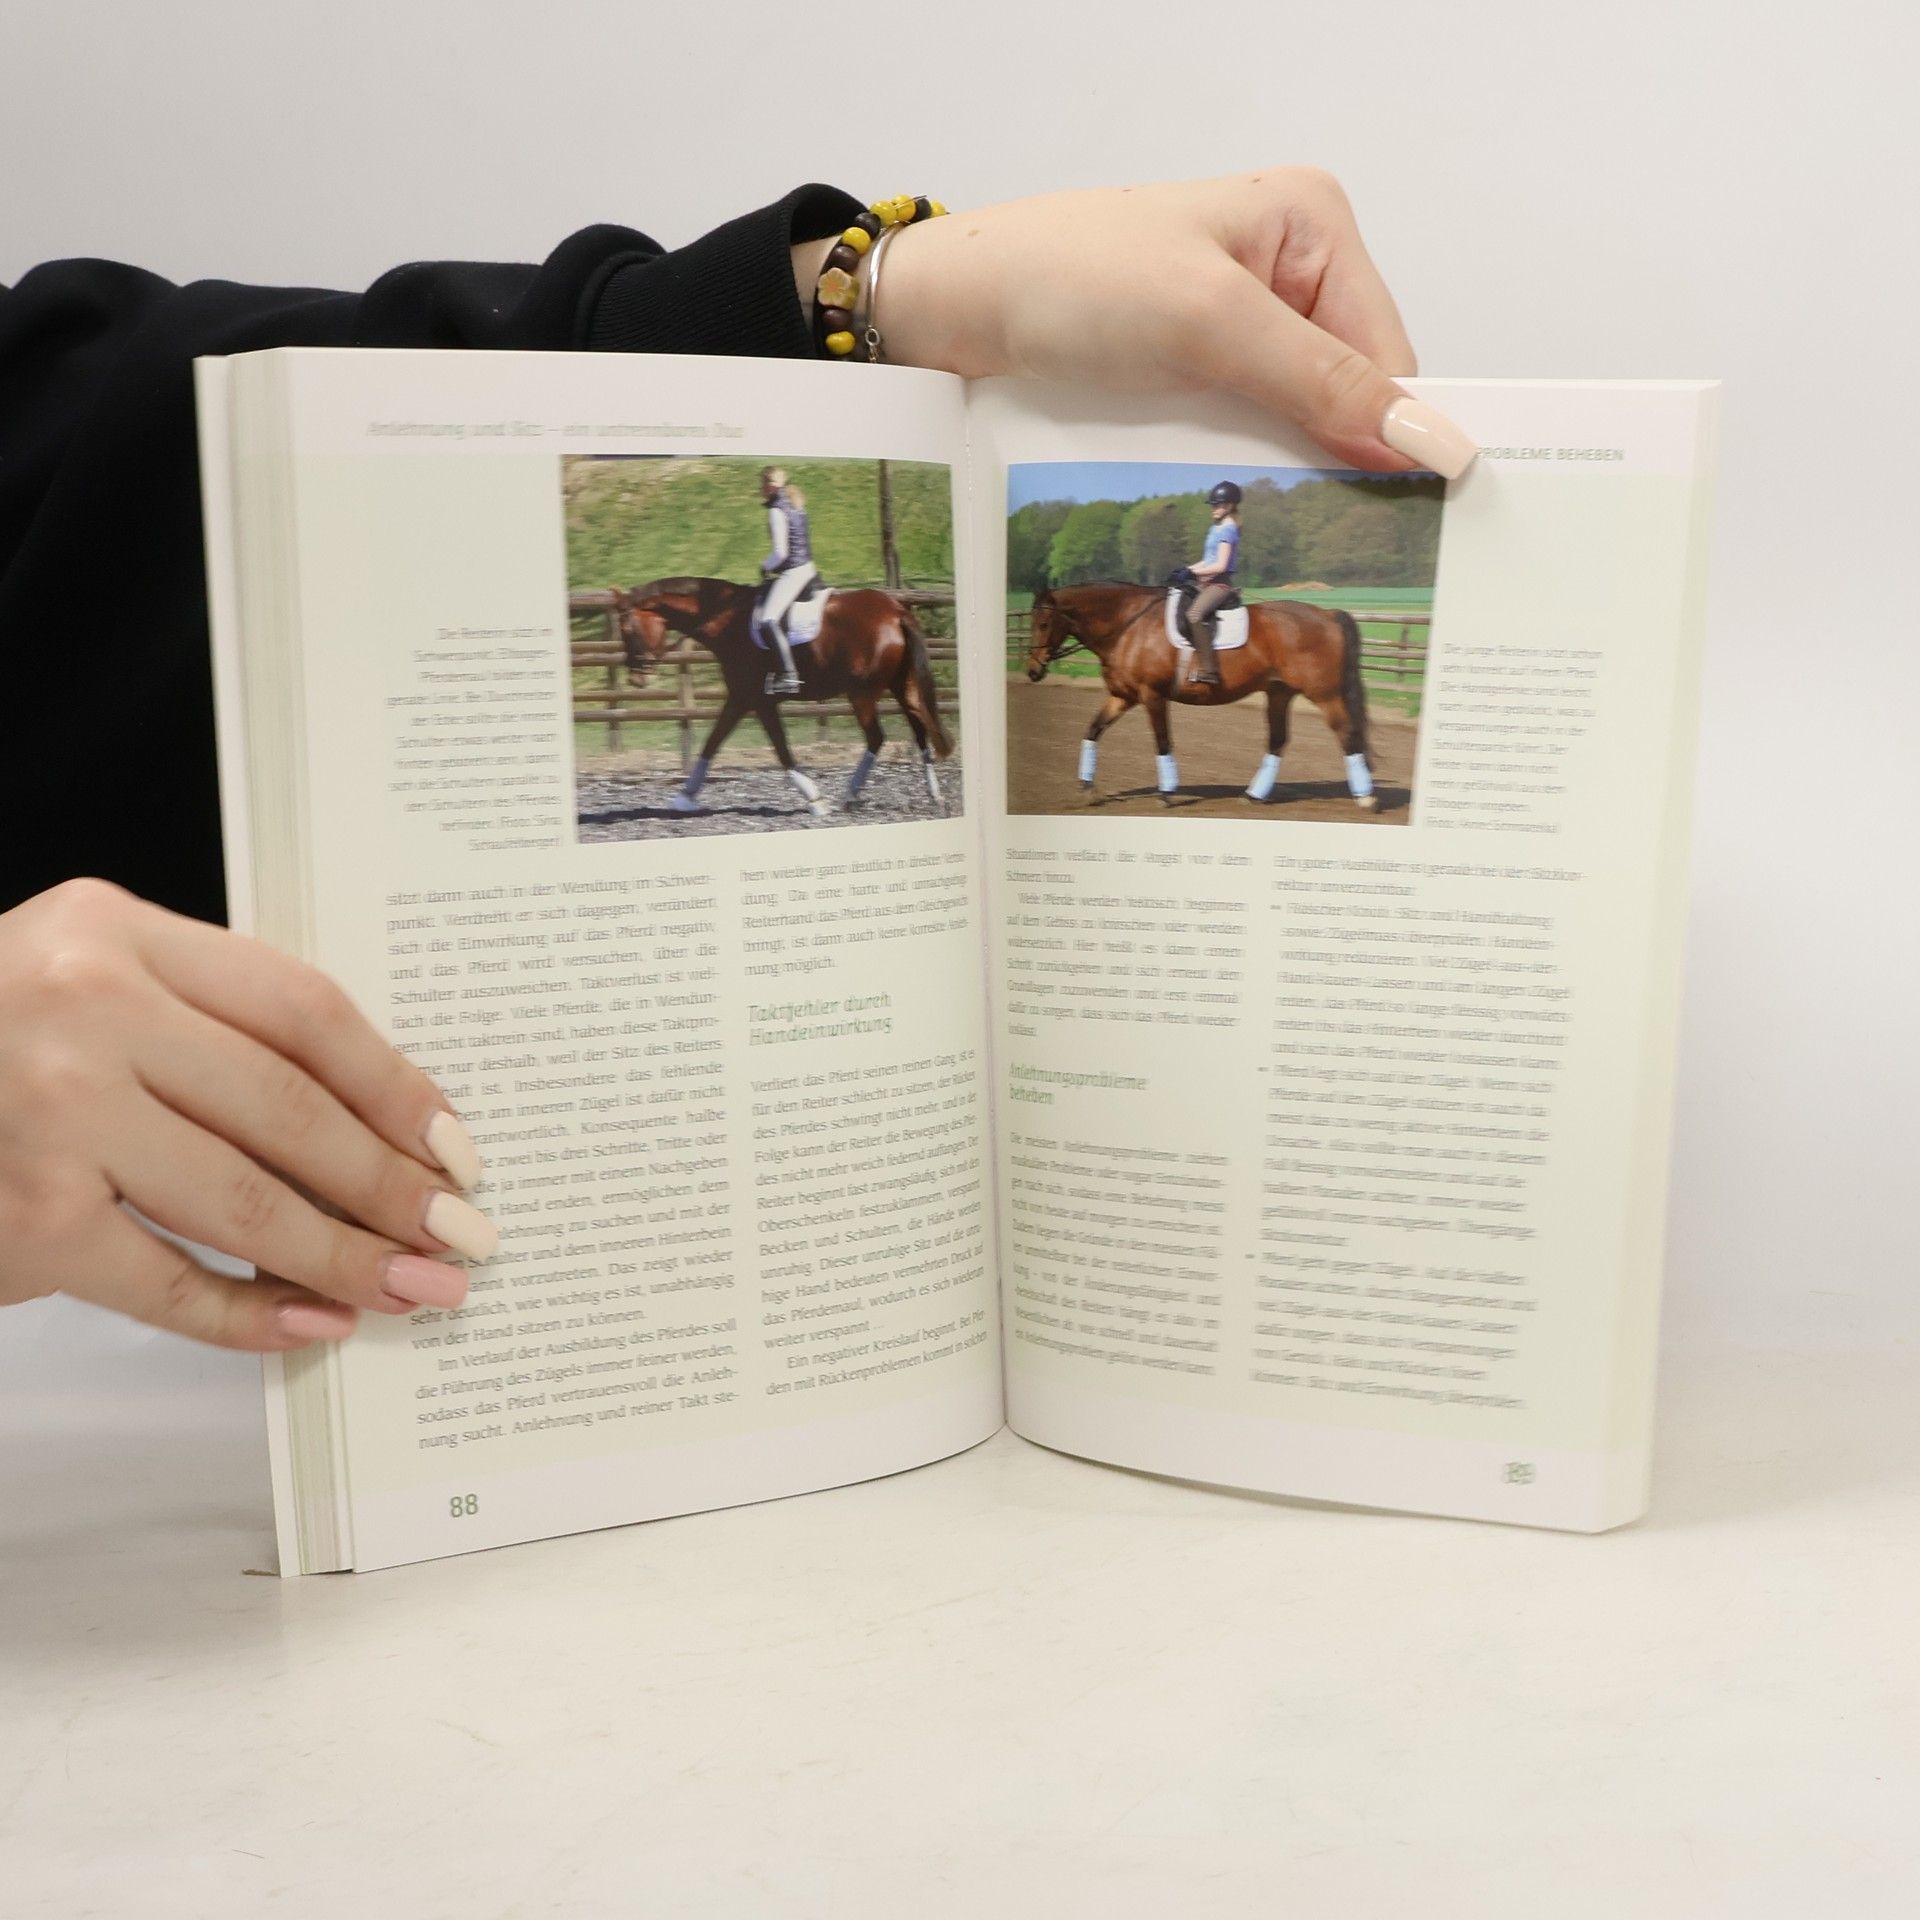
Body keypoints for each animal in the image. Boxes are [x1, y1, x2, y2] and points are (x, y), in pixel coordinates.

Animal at [611, 576, 954, 817]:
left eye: (627, 629)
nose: (637, 677)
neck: (727, 620)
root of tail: (896, 612)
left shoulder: (756, 700)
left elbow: (780, 749)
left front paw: (815, 799)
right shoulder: (741, 698)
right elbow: (713, 742)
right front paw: (685, 796)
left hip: (862, 694)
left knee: (876, 737)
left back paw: (850, 794)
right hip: (901, 686)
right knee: (919, 729)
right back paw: (934, 794)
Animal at [1023, 583, 1378, 810]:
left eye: (1044, 623)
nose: (1032, 671)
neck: (1129, 626)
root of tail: (1328, 614)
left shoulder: (1152, 695)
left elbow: (1163, 741)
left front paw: (1167, 792)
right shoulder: (1123, 696)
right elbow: (1092, 731)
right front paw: (1088, 789)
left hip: (1325, 694)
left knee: (1347, 734)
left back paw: (1366, 797)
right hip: (1279, 692)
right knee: (1278, 741)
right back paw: (1253, 795)